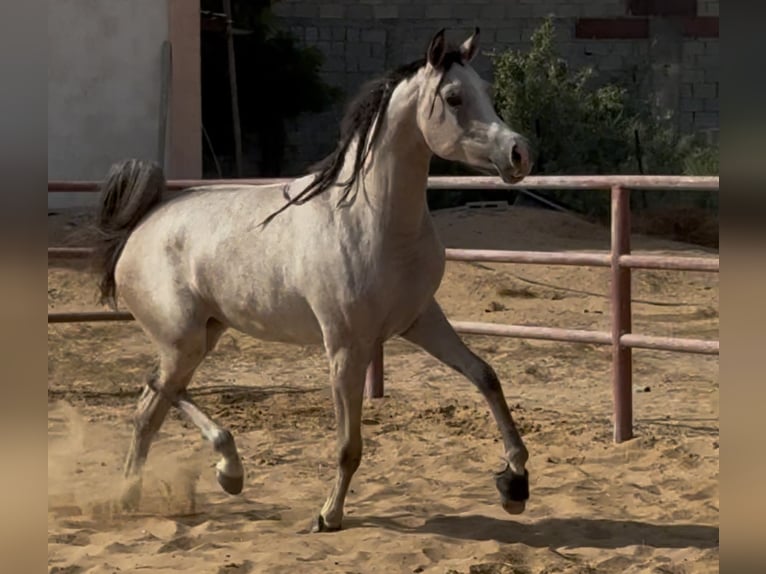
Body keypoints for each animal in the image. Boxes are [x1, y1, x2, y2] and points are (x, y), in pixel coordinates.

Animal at [91, 27, 533, 532]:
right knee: (158, 390)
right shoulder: (345, 346)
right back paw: (224, 470)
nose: (519, 153)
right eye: (455, 97)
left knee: (150, 405)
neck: (372, 220)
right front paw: (329, 515)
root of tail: (142, 223)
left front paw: (515, 483)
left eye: (487, 92)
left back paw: (137, 493)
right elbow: (348, 445)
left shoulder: (420, 321)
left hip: (204, 334)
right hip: (183, 341)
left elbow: (485, 376)